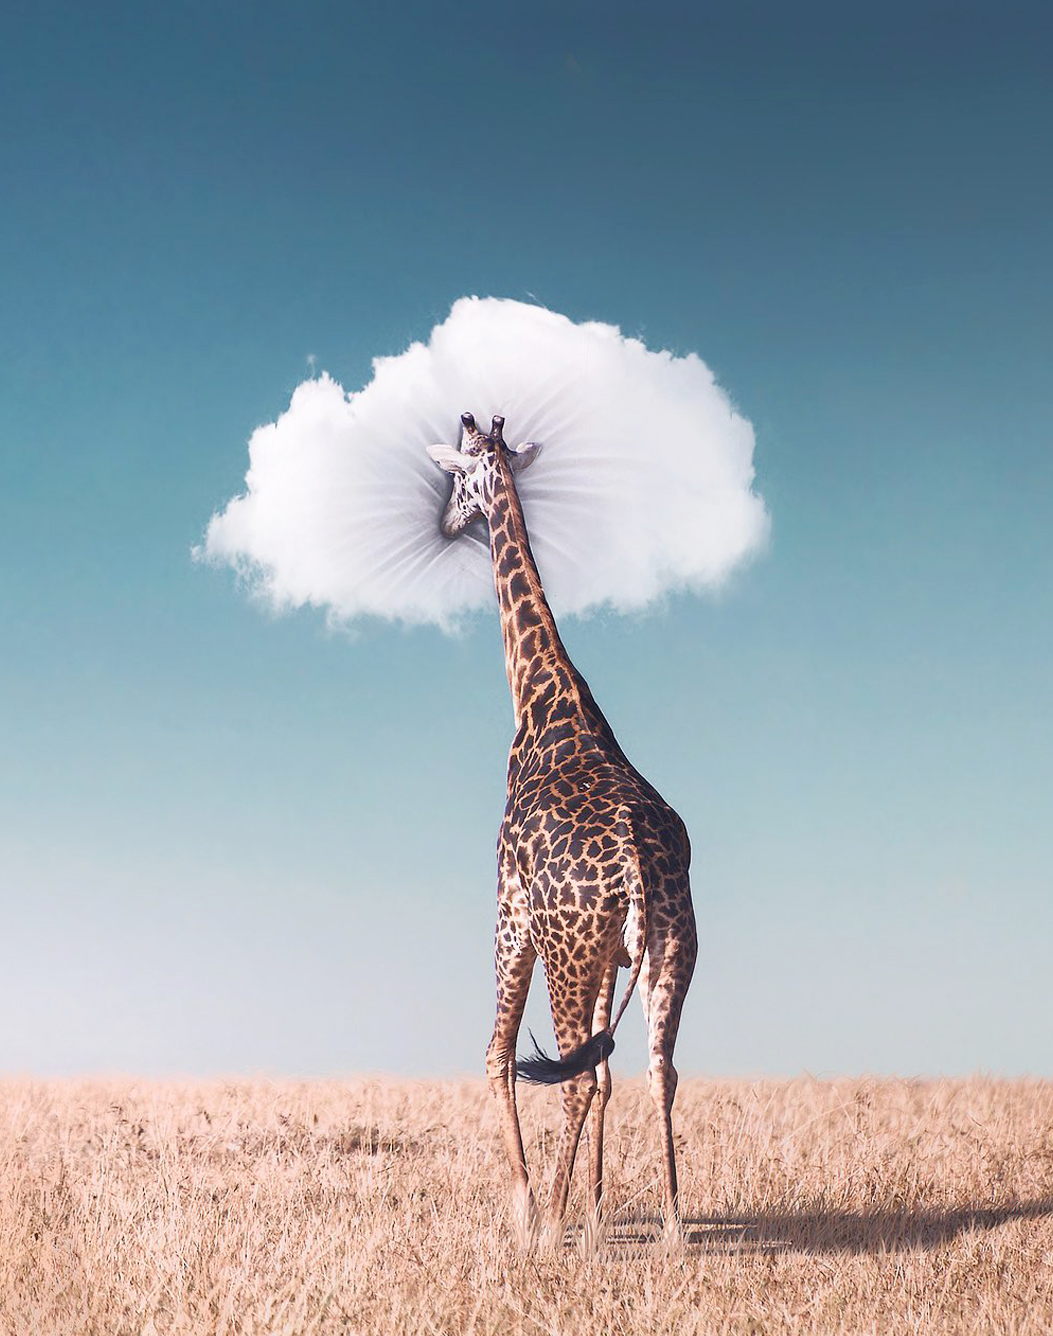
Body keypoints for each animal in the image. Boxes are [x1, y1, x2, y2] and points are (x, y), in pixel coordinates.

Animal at [427, 412, 697, 1242]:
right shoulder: (614, 955)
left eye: (458, 479)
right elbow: (609, 1075)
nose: (445, 523)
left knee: (570, 1076)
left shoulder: (509, 909)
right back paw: (672, 1227)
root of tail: (639, 866)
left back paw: (548, 1225)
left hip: (567, 953)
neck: (543, 694)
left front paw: (528, 1209)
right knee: (656, 1070)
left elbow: (495, 1055)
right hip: (669, 952)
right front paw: (600, 1214)